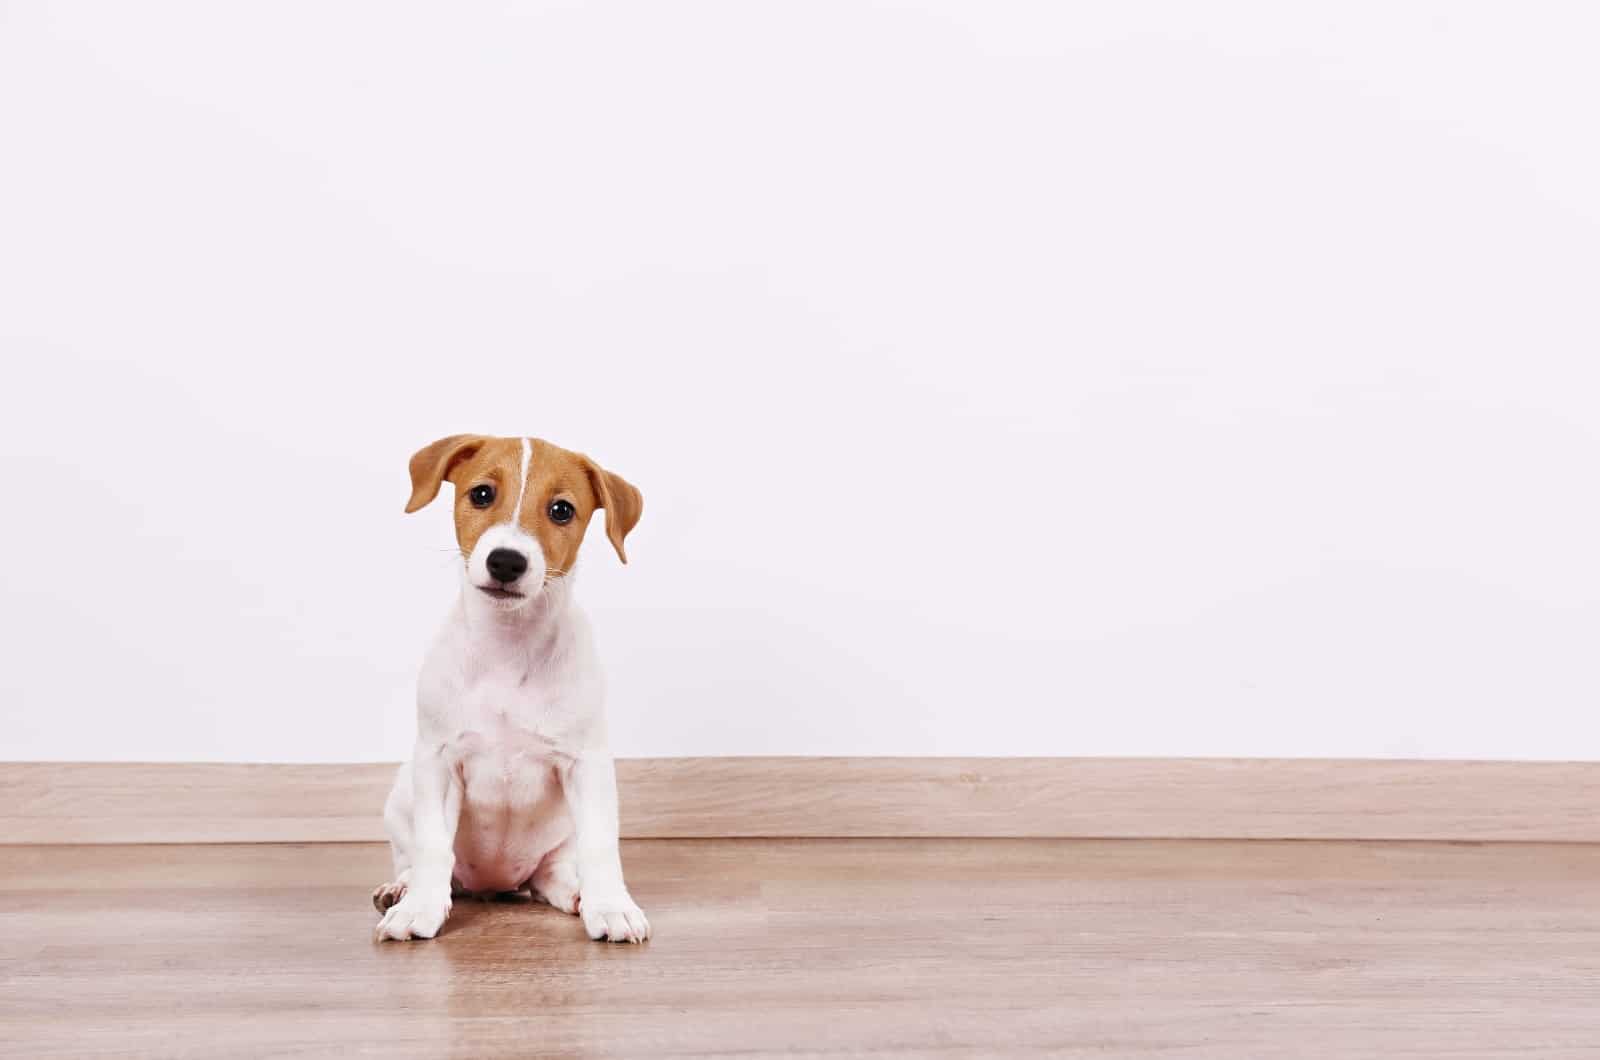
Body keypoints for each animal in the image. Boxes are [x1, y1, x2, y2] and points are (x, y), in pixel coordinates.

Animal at [374, 435, 649, 947]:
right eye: (482, 494)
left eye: (562, 510)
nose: (506, 560)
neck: (509, 645)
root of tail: (495, 885)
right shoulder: (438, 762)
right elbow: (433, 845)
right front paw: (419, 907)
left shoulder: (588, 765)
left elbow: (601, 844)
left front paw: (610, 906)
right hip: (402, 796)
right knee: (415, 857)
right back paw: (400, 888)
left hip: (560, 835)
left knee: (550, 874)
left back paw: (575, 892)